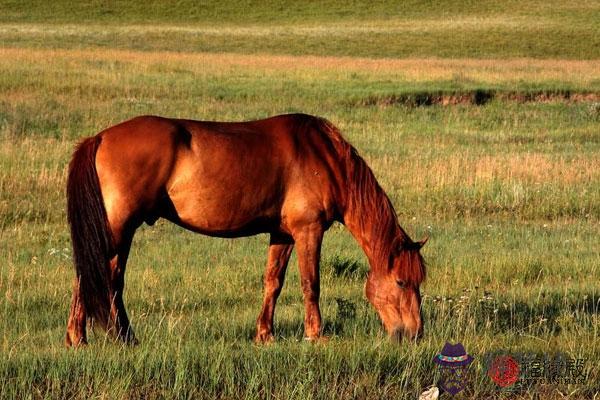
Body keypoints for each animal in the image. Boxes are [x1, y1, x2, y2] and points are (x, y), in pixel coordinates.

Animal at [64, 113, 426, 346]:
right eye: (401, 281)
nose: (415, 334)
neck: (325, 158)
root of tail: (100, 138)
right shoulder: (308, 231)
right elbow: (311, 284)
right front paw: (315, 334)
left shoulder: (283, 235)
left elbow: (273, 283)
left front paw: (265, 334)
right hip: (116, 229)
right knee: (90, 276)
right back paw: (78, 337)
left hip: (122, 232)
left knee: (112, 280)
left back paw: (123, 337)